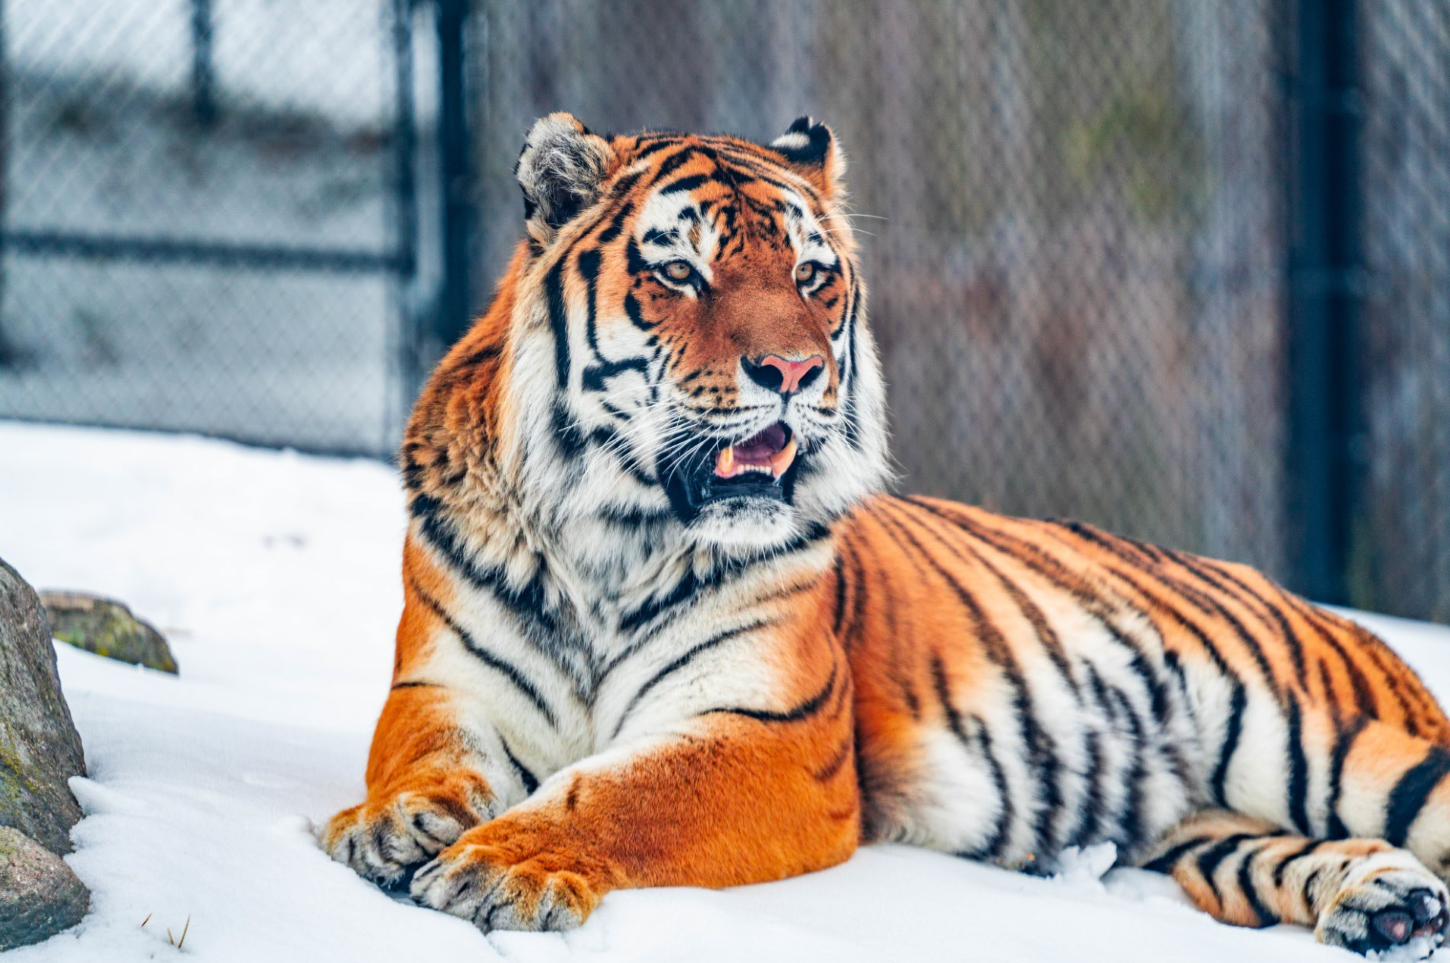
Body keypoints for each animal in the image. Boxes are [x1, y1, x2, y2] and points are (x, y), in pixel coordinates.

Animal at [322, 112, 1450, 958]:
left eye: (811, 277)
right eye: (680, 274)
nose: (795, 371)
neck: (614, 537)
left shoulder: (772, 735)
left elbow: (619, 792)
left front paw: (495, 865)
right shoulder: (443, 686)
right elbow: (425, 759)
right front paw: (394, 824)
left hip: (1349, 749)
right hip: (1205, 823)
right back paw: (1384, 904)